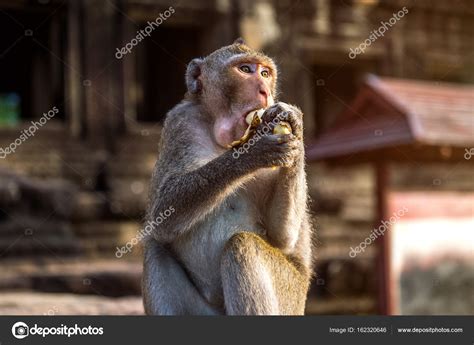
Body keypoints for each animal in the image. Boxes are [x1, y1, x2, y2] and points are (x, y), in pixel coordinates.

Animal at [143, 38, 312, 314]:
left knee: (242, 246)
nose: (264, 90)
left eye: (265, 73)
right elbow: (162, 214)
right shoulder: (180, 122)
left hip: (291, 295)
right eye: (245, 69)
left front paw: (294, 121)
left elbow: (283, 236)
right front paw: (254, 150)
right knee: (155, 246)